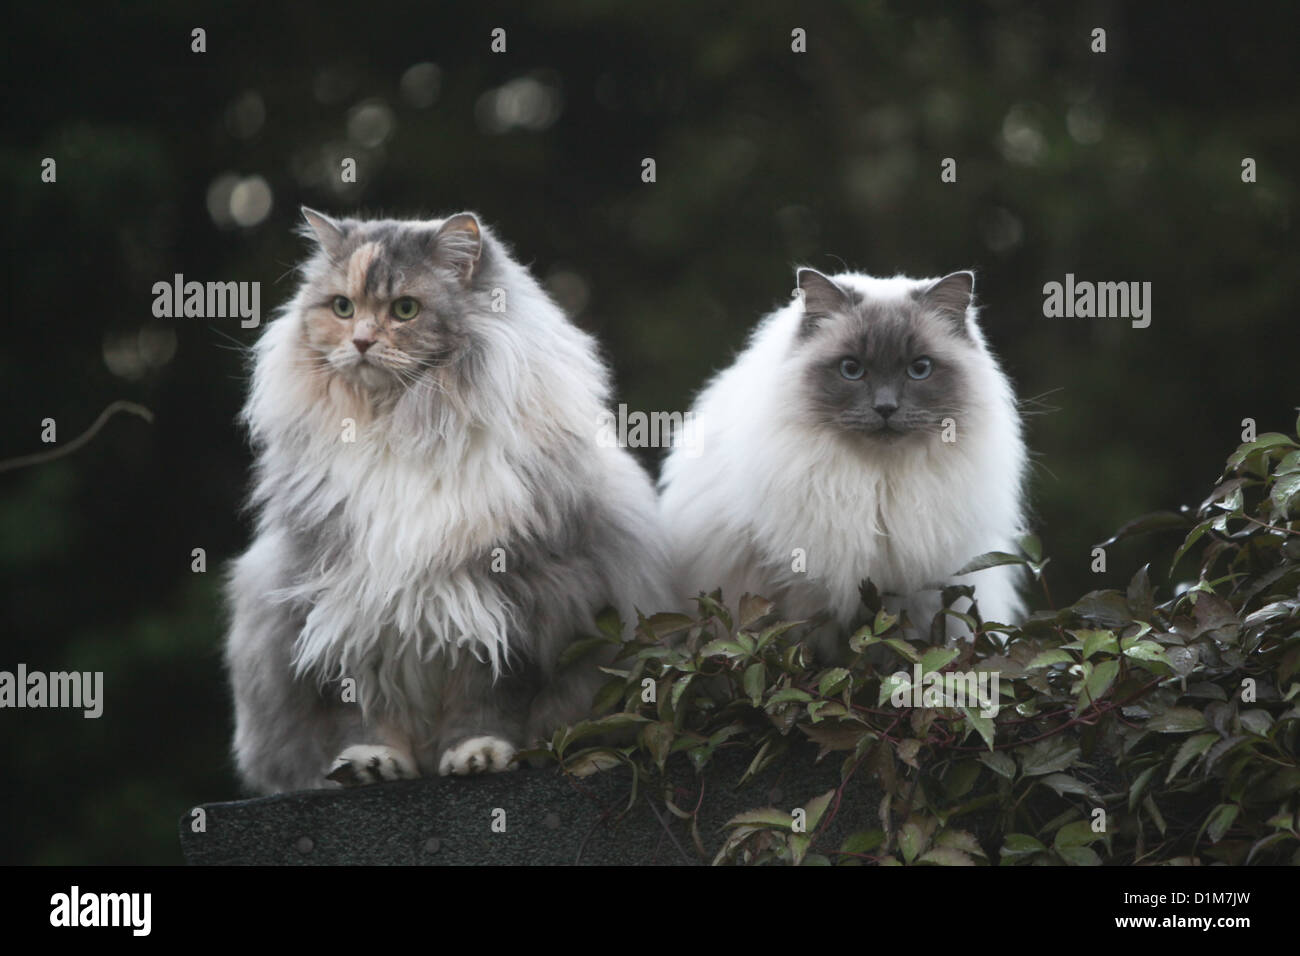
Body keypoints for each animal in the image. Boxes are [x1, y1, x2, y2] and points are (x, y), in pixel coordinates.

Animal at [224, 209, 670, 790]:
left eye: (405, 310)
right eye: (343, 308)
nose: (361, 341)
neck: (399, 426)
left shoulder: (513, 600)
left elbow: (486, 702)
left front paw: (477, 755)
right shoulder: (340, 602)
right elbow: (359, 711)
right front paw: (373, 762)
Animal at [660, 265, 1024, 660]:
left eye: (919, 369)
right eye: (851, 369)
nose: (885, 408)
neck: (878, 481)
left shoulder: (913, 597)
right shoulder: (798, 589)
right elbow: (798, 648)